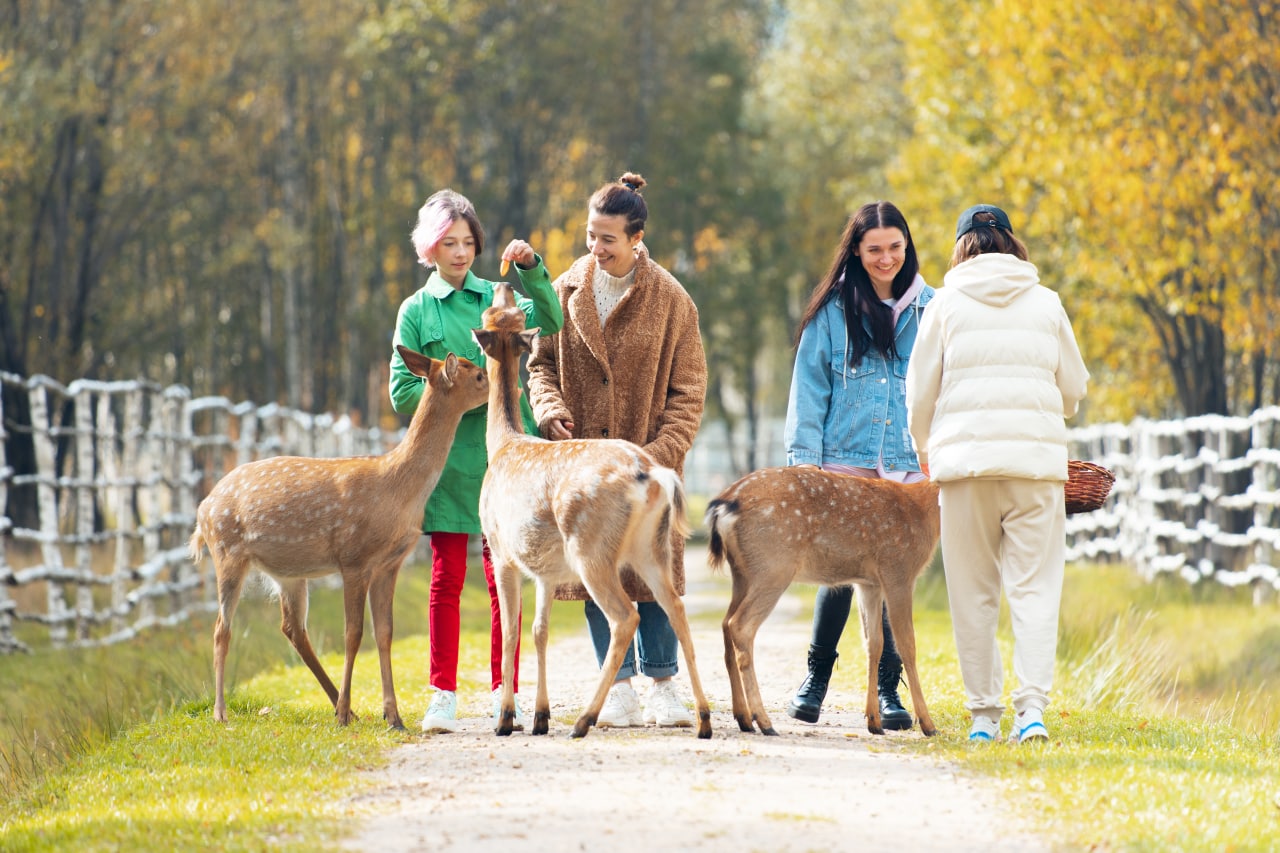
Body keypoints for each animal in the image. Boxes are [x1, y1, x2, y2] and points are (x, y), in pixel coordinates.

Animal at [186, 345, 486, 722]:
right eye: (479, 374)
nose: (507, 385)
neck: (397, 489)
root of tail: (202, 510)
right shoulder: (354, 557)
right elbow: (353, 633)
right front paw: (345, 714)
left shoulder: (389, 563)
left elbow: (384, 632)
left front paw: (393, 717)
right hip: (226, 551)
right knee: (221, 629)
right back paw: (221, 712)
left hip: (289, 573)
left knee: (293, 628)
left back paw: (344, 706)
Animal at [473, 281, 711, 732]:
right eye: (508, 311)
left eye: (490, 313)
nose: (505, 282)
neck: (501, 444)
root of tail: (652, 475)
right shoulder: (546, 569)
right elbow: (539, 630)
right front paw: (541, 717)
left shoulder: (501, 550)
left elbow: (511, 633)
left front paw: (507, 719)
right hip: (651, 548)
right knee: (676, 611)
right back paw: (703, 719)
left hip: (591, 547)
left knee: (626, 617)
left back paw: (585, 719)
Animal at [701, 466, 942, 732]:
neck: (924, 510)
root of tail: (724, 504)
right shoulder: (898, 571)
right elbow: (907, 645)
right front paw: (928, 724)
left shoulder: (869, 583)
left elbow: (874, 643)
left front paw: (874, 721)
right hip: (774, 566)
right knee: (740, 626)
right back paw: (764, 721)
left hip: (743, 573)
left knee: (725, 624)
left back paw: (744, 718)